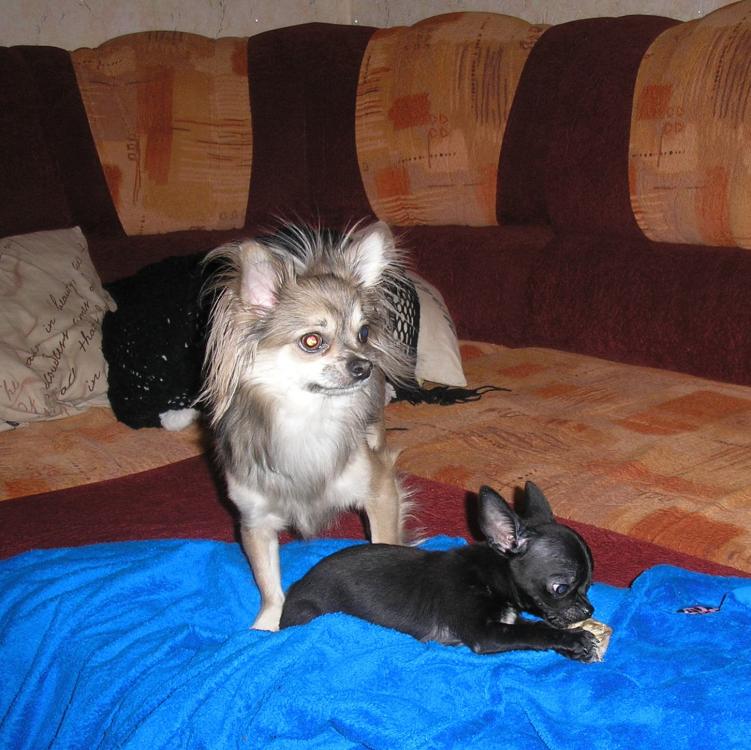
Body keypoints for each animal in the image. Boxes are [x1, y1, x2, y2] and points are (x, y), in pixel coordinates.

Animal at [200, 221, 413, 631]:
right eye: (312, 341)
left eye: (363, 334)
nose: (365, 366)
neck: (309, 418)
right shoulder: (254, 522)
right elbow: (269, 585)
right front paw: (267, 626)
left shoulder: (380, 490)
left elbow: (385, 540)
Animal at [280, 482, 600, 662]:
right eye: (561, 587)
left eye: (589, 585)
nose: (589, 610)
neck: (488, 577)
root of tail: (295, 588)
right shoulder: (486, 634)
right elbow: (533, 632)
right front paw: (574, 639)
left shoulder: (508, 620)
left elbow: (533, 627)